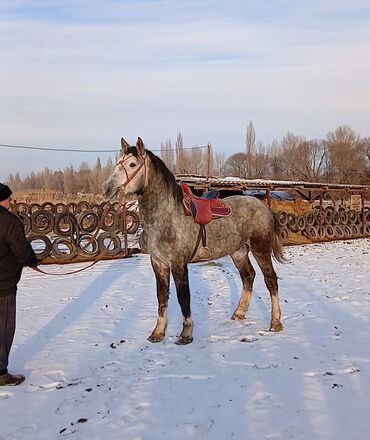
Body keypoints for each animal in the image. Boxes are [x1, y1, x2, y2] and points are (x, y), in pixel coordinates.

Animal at [102, 138, 284, 344]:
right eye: (118, 162)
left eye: (132, 164)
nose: (107, 188)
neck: (166, 216)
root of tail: (264, 206)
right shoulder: (158, 263)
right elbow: (162, 296)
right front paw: (158, 332)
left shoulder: (178, 264)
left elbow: (183, 297)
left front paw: (186, 334)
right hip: (238, 252)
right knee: (248, 276)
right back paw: (238, 313)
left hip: (260, 250)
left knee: (271, 280)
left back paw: (275, 323)